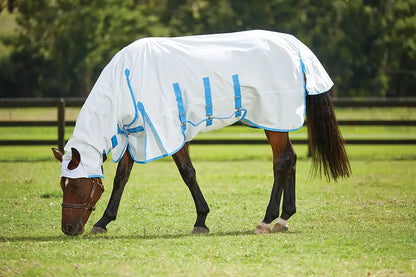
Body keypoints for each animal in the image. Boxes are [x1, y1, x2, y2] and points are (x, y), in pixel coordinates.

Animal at [52, 30, 352, 235]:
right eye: (62, 184)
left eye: (76, 184)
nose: (68, 228)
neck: (127, 79)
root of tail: (294, 45)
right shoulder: (136, 132)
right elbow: (121, 178)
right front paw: (103, 222)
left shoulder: (167, 131)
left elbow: (187, 173)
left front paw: (201, 220)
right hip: (277, 123)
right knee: (289, 159)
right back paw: (284, 218)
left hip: (273, 120)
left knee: (282, 161)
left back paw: (267, 220)